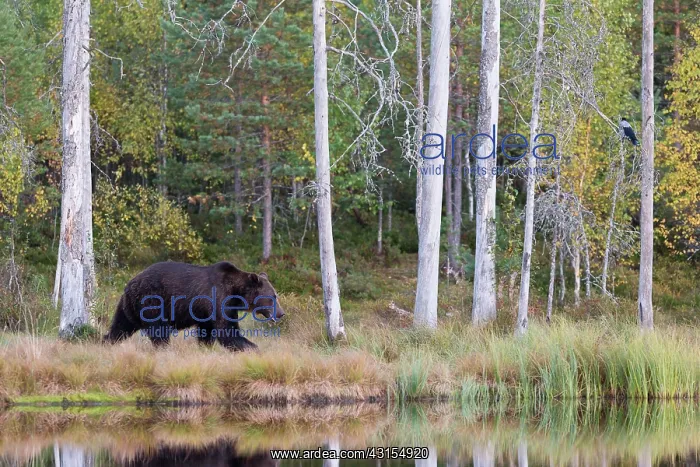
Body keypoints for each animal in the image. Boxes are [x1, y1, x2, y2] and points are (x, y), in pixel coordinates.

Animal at [103, 261, 285, 351]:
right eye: (273, 297)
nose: (281, 313)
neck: (236, 293)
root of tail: (130, 284)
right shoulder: (218, 299)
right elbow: (227, 331)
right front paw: (253, 348)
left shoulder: (207, 312)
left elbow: (207, 332)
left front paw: (205, 348)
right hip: (152, 301)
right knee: (159, 331)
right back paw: (164, 350)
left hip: (129, 307)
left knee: (120, 327)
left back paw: (106, 343)